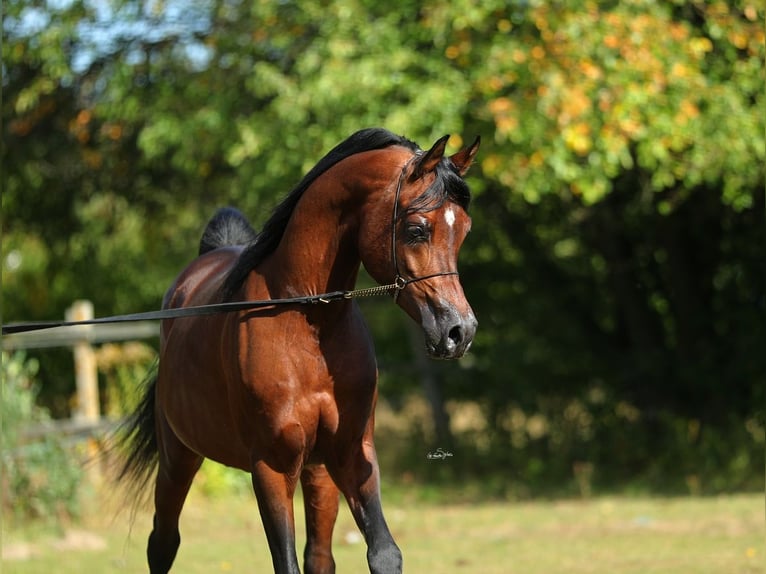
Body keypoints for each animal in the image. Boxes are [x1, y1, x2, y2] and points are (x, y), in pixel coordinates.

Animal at [117, 128, 480, 572]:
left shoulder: (351, 455)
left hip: (317, 472)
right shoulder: (271, 467)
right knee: (163, 542)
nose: (459, 331)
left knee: (319, 556)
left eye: (463, 231)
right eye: (416, 230)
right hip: (178, 458)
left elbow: (383, 552)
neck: (306, 325)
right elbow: (285, 561)